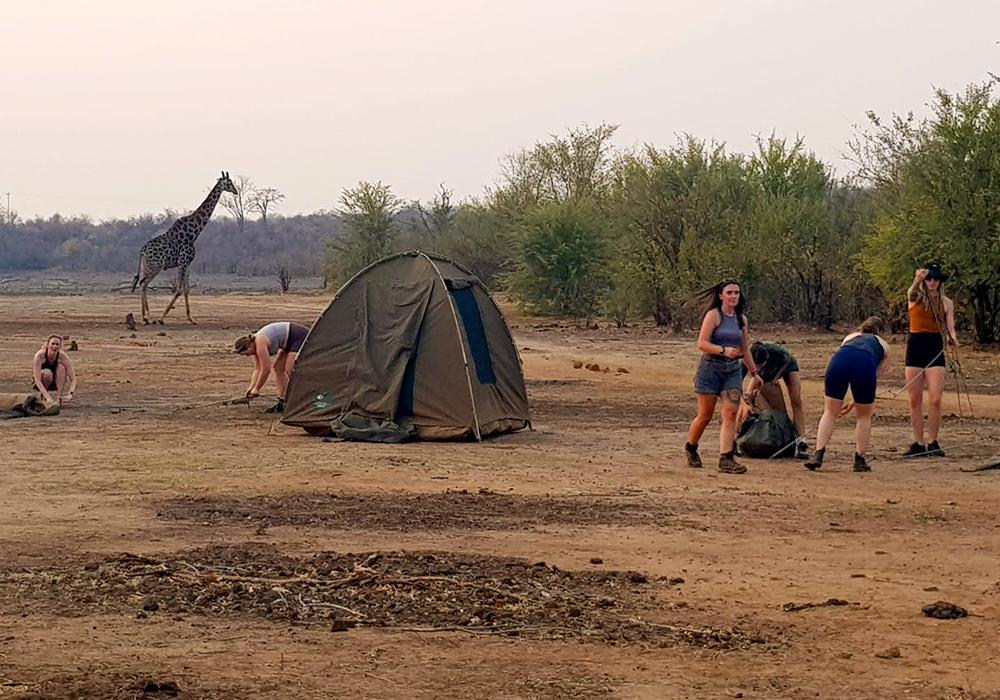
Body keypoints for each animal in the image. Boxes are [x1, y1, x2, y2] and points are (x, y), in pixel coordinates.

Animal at [131, 171, 238, 324]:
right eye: (229, 182)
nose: (235, 191)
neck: (194, 232)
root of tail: (141, 252)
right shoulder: (182, 262)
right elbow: (178, 290)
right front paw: (162, 318)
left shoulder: (187, 264)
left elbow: (186, 290)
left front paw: (191, 318)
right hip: (155, 266)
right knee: (144, 284)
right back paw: (148, 316)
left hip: (146, 266)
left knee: (141, 283)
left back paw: (144, 317)